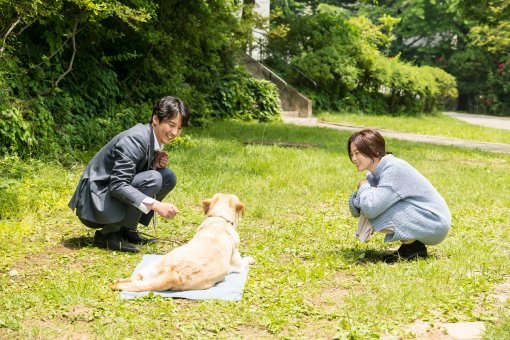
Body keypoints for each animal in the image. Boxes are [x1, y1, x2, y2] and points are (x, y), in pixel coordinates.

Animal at [111, 194, 255, 292]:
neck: (219, 219)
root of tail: (173, 276)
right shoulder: (238, 265)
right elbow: (246, 260)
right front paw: (251, 259)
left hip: (149, 269)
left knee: (135, 280)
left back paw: (119, 281)